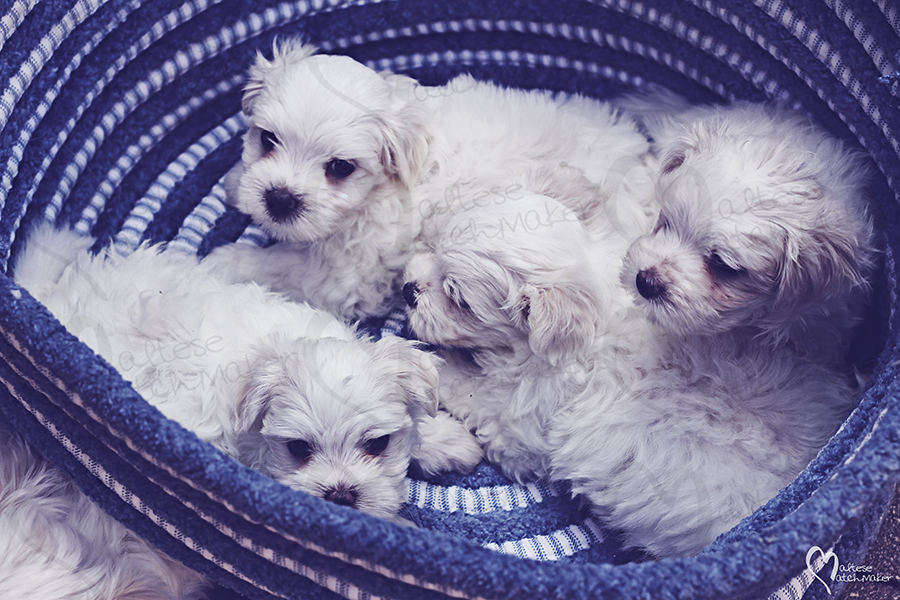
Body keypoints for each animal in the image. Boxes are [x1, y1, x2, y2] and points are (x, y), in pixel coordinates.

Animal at [204, 39, 652, 322]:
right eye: (267, 139)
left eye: (340, 168)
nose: (280, 199)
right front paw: (235, 184)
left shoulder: (347, 276)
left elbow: (282, 266)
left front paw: (226, 260)